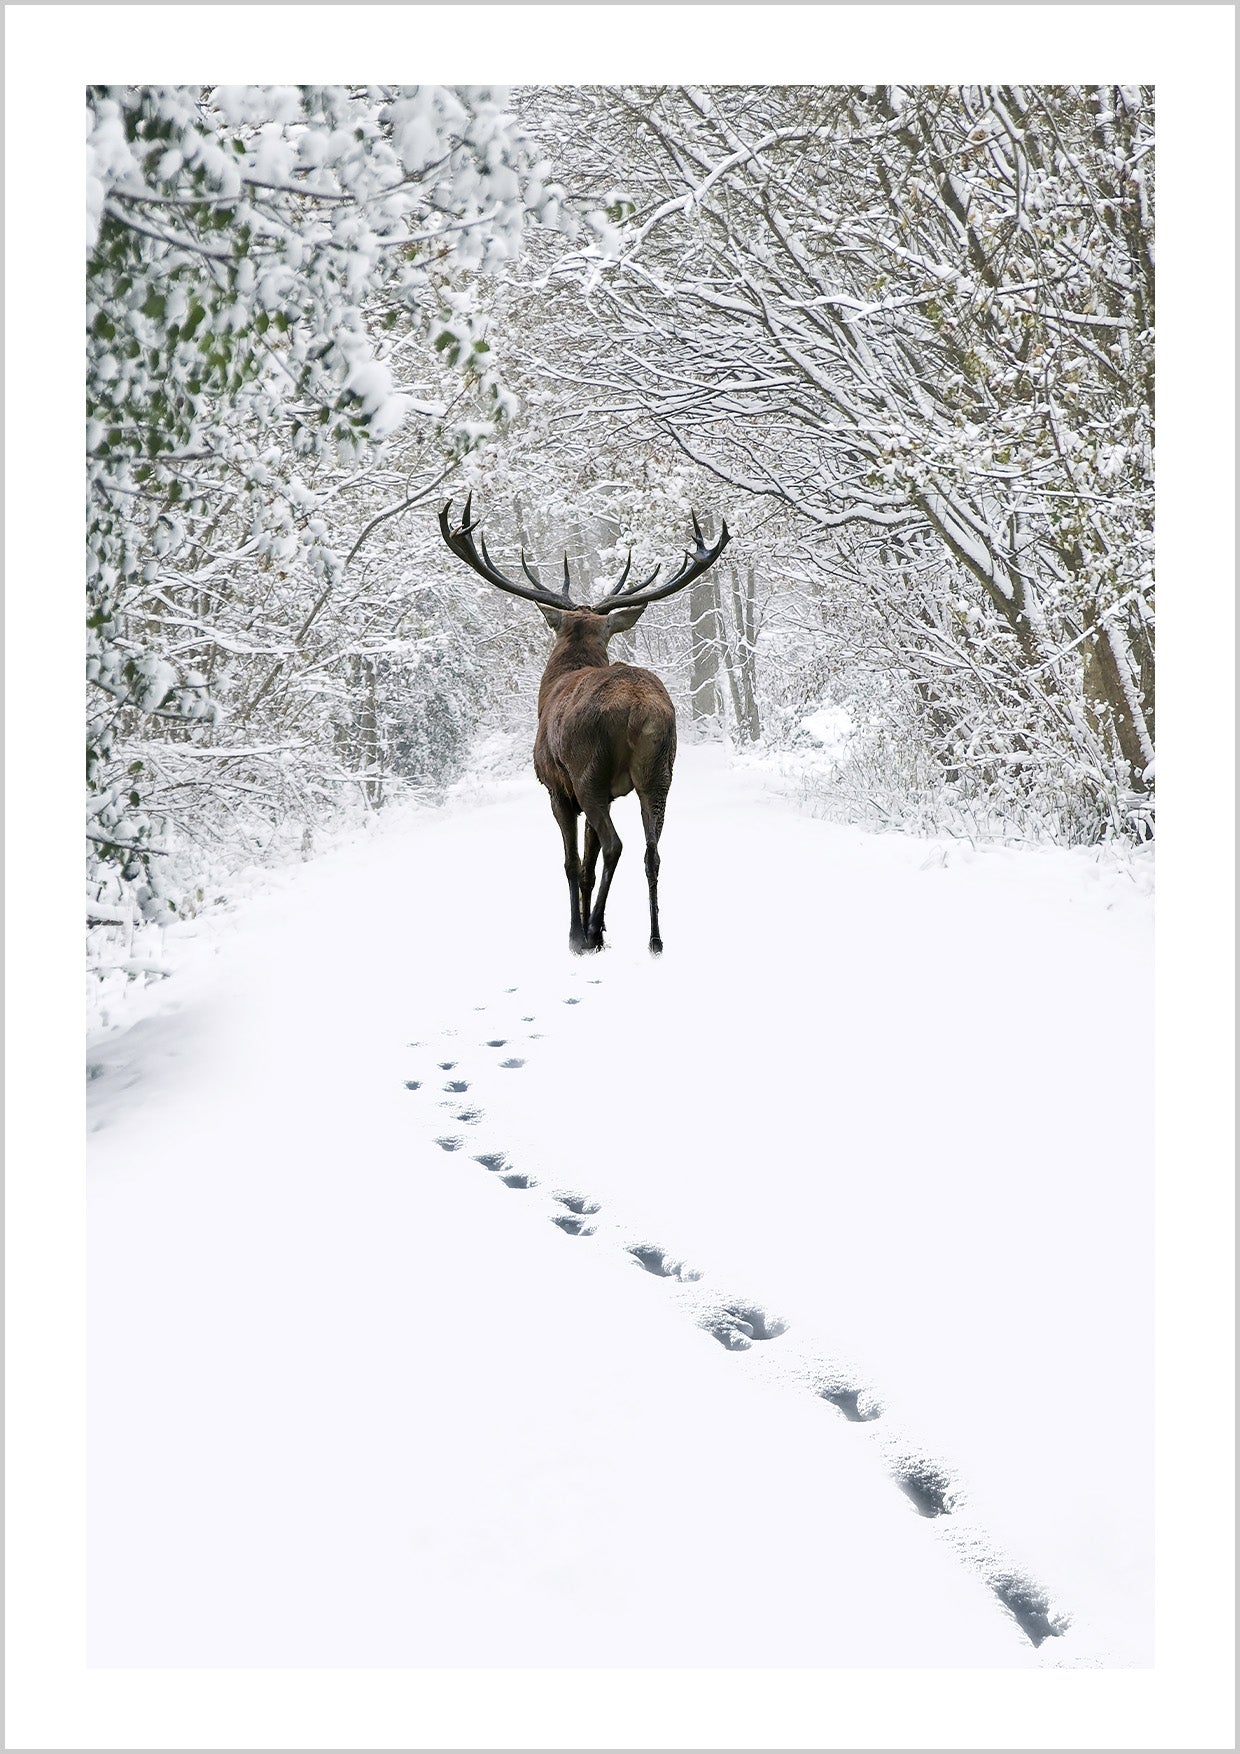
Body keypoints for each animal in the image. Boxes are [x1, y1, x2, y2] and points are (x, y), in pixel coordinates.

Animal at [438, 494, 726, 961]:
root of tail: (640, 710)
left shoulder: (558, 787)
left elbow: (574, 863)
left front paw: (578, 932)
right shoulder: (607, 792)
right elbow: (589, 866)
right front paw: (602, 928)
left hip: (589, 771)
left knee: (616, 845)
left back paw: (588, 932)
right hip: (659, 774)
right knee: (652, 851)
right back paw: (654, 939)